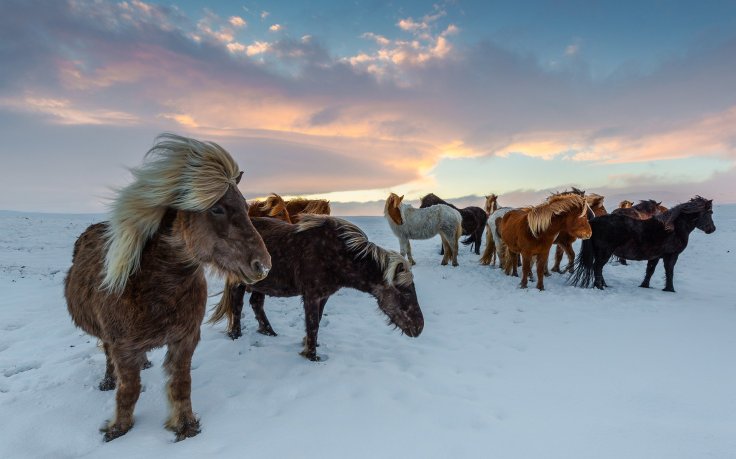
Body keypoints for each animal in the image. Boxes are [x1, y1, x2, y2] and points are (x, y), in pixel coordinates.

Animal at [64, 134, 271, 442]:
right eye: (217, 208)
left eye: (247, 208)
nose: (263, 265)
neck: (156, 288)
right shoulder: (123, 347)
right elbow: (129, 390)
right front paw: (118, 429)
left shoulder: (185, 339)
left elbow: (181, 384)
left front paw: (185, 426)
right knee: (107, 356)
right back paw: (108, 381)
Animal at [209, 215, 424, 361]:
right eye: (404, 291)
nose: (419, 328)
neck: (337, 255)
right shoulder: (311, 296)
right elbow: (313, 323)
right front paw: (311, 356)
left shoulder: (323, 296)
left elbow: (317, 321)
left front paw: (308, 344)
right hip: (239, 283)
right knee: (237, 307)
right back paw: (236, 335)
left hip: (261, 284)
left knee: (256, 304)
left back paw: (269, 332)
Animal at [570, 196, 714, 292]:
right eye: (710, 213)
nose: (712, 229)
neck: (673, 228)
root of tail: (593, 221)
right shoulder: (671, 256)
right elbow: (669, 272)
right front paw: (670, 289)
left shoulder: (655, 256)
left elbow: (650, 271)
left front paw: (645, 285)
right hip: (605, 253)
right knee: (597, 267)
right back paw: (600, 287)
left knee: (598, 268)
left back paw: (604, 285)